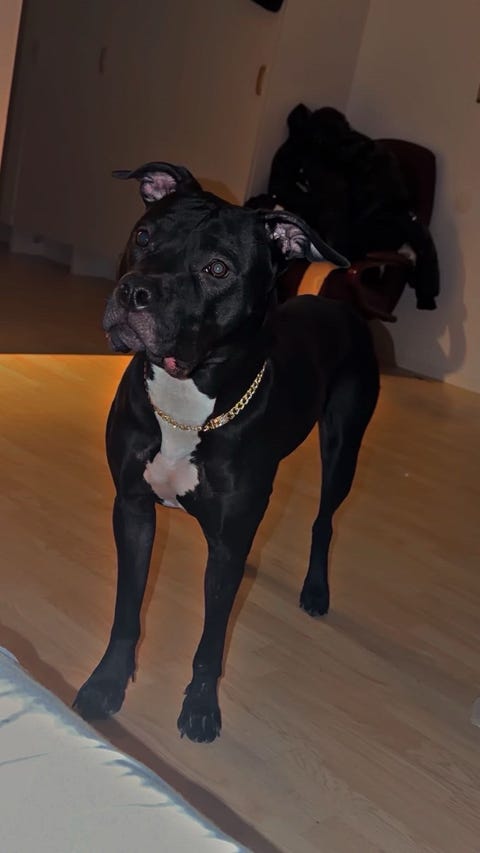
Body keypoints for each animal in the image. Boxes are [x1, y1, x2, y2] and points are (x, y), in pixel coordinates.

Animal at [73, 161, 379, 742]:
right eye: (143, 236)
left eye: (217, 269)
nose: (135, 293)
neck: (186, 404)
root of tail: (335, 304)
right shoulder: (133, 510)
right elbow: (127, 611)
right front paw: (107, 683)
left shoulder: (228, 545)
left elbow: (211, 641)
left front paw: (200, 707)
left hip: (343, 450)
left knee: (324, 520)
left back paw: (316, 589)